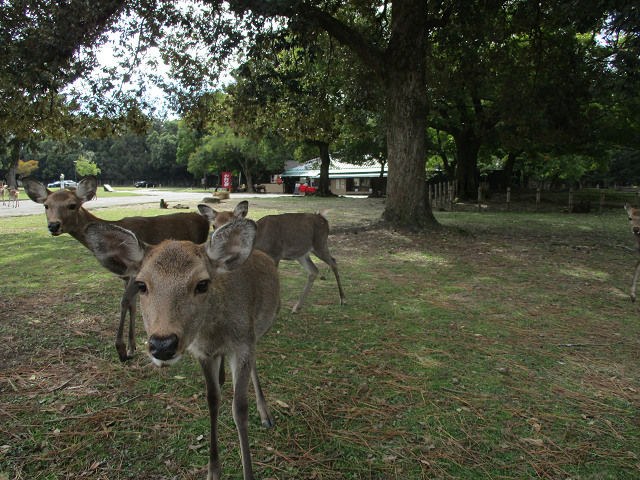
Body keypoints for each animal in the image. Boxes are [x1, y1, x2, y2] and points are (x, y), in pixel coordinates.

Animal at [21, 176, 210, 360]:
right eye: (46, 205)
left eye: (72, 205)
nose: (53, 225)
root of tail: (203, 218)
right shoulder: (127, 277)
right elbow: (132, 304)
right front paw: (132, 347)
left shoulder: (136, 273)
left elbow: (124, 302)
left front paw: (121, 349)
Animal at [86, 218, 282, 480]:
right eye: (141, 285)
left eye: (202, 283)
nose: (163, 344)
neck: (214, 332)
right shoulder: (202, 352)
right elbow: (212, 400)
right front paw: (212, 471)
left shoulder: (243, 344)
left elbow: (239, 409)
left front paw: (247, 472)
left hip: (258, 330)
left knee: (254, 366)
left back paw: (265, 414)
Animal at [199, 201, 344, 314]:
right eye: (214, 225)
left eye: (233, 223)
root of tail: (323, 218)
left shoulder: (275, 254)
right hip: (301, 253)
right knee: (314, 271)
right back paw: (296, 307)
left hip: (320, 243)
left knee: (333, 262)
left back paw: (342, 299)